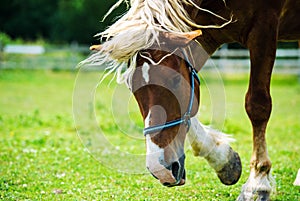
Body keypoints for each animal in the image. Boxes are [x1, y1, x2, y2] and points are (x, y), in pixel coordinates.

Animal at [82, 0, 300, 201]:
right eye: (130, 86)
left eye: (175, 79)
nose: (160, 169)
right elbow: (190, 110)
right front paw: (224, 160)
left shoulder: (264, 28)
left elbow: (257, 104)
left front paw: (257, 183)